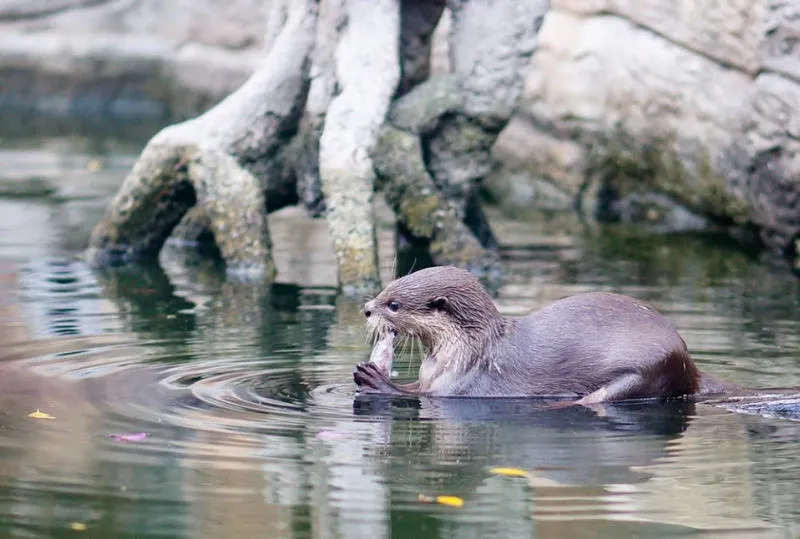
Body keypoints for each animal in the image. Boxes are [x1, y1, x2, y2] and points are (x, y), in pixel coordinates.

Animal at [352, 266, 732, 404]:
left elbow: (422, 395)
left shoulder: (465, 382)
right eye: (386, 288)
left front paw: (374, 379)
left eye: (394, 304)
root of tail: (690, 364)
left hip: (652, 367)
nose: (367, 308)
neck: (465, 350)